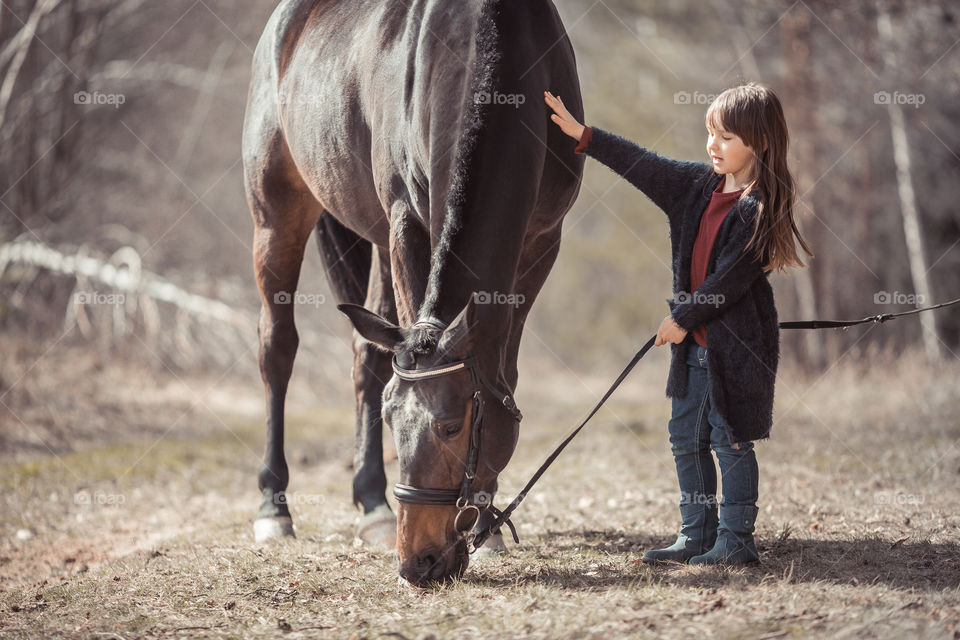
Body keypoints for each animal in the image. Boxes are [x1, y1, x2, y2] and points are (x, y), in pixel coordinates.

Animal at [244, 0, 580, 584]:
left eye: (451, 426)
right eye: (392, 418)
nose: (417, 562)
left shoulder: (542, 239)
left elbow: (503, 374)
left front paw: (487, 522)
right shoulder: (406, 223)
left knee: (366, 353)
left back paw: (373, 506)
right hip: (276, 215)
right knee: (277, 349)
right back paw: (274, 508)